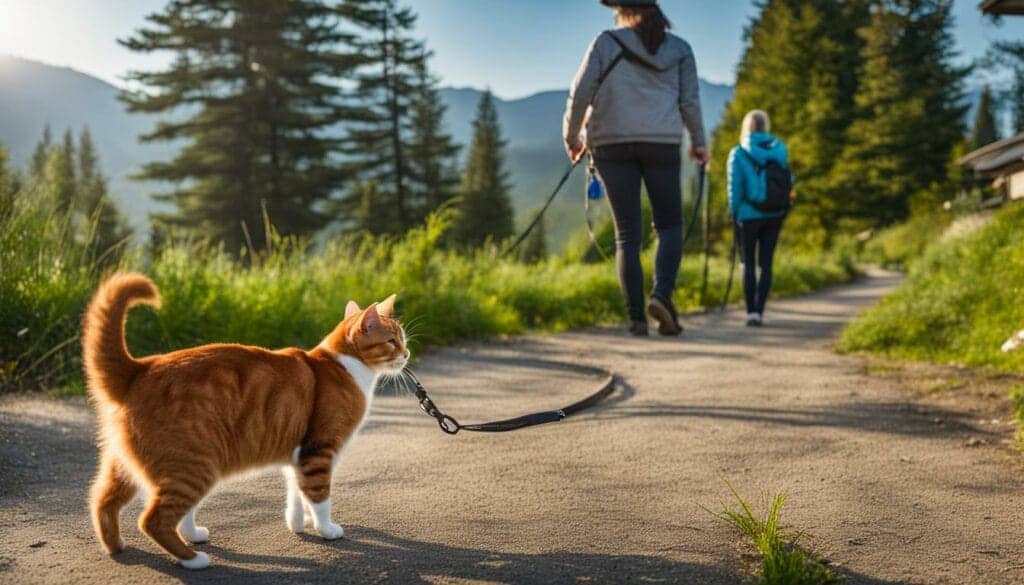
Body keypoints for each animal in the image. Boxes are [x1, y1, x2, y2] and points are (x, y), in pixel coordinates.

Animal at [82, 272, 407, 569]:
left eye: (402, 339)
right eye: (392, 341)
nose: (406, 354)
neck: (343, 366)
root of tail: (140, 368)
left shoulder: (298, 456)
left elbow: (296, 494)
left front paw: (297, 525)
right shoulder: (319, 452)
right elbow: (319, 498)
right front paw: (327, 530)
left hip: (131, 468)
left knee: (104, 502)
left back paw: (126, 545)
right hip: (195, 467)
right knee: (153, 520)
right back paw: (193, 559)